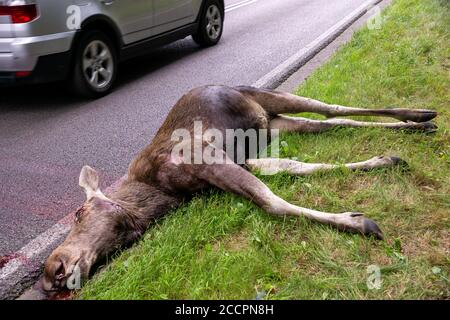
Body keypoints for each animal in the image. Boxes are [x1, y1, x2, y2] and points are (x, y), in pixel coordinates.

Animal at [42, 86, 436, 292]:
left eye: (79, 211)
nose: (51, 272)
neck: (159, 193)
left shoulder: (204, 156)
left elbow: (271, 202)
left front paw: (357, 222)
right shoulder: (243, 161)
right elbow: (294, 168)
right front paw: (381, 162)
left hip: (268, 97)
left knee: (331, 107)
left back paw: (419, 113)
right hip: (275, 125)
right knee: (333, 122)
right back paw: (410, 132)